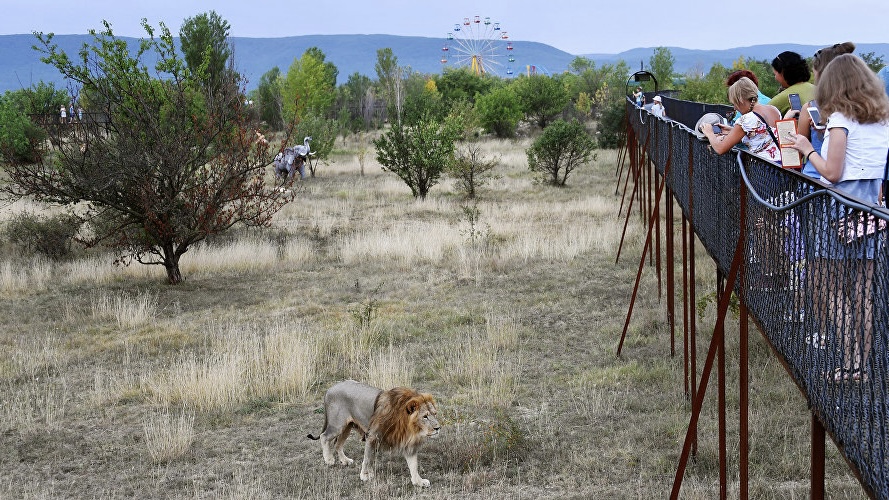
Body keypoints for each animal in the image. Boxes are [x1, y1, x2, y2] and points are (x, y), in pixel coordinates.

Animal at [308, 380, 440, 486]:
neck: (408, 427)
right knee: (324, 436)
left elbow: (413, 464)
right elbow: (367, 458)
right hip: (337, 425)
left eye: (434, 414)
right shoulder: (372, 436)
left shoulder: (407, 443)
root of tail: (330, 389)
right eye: (425, 417)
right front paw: (365, 476)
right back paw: (329, 459)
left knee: (338, 444)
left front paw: (419, 481)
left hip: (347, 427)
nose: (438, 428)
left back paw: (345, 461)